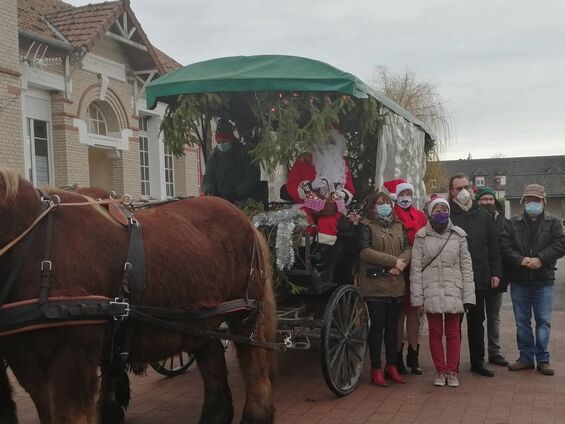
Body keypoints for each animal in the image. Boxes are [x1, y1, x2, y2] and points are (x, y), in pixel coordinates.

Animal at [0, 169, 276, 424]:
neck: (34, 250)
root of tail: (245, 219)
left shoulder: (72, 358)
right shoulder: (27, 363)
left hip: (245, 314)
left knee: (254, 365)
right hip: (200, 319)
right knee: (212, 357)